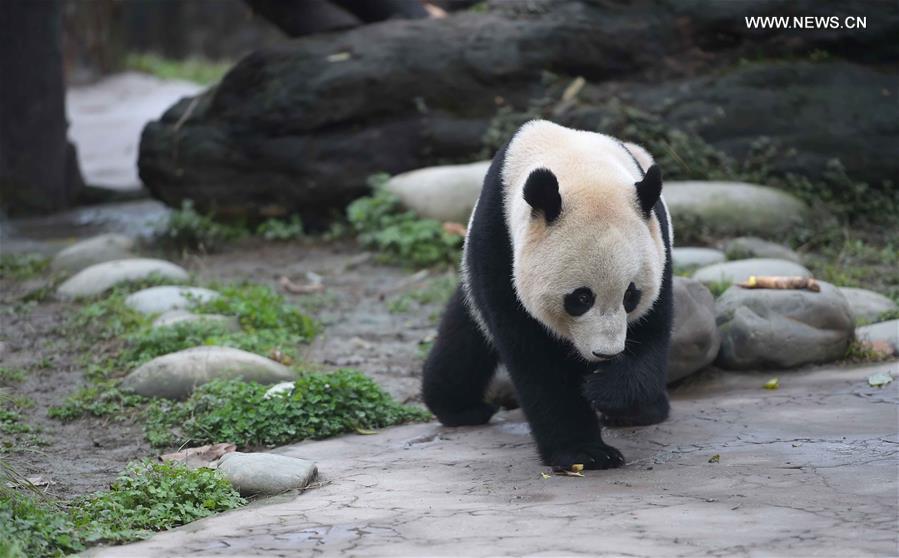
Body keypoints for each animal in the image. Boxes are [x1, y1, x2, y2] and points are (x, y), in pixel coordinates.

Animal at [420, 120, 668, 470]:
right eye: (580, 298)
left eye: (630, 295)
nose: (605, 353)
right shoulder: (499, 242)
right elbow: (535, 357)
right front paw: (586, 453)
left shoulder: (657, 242)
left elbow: (651, 331)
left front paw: (606, 392)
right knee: (465, 337)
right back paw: (460, 408)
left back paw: (645, 411)